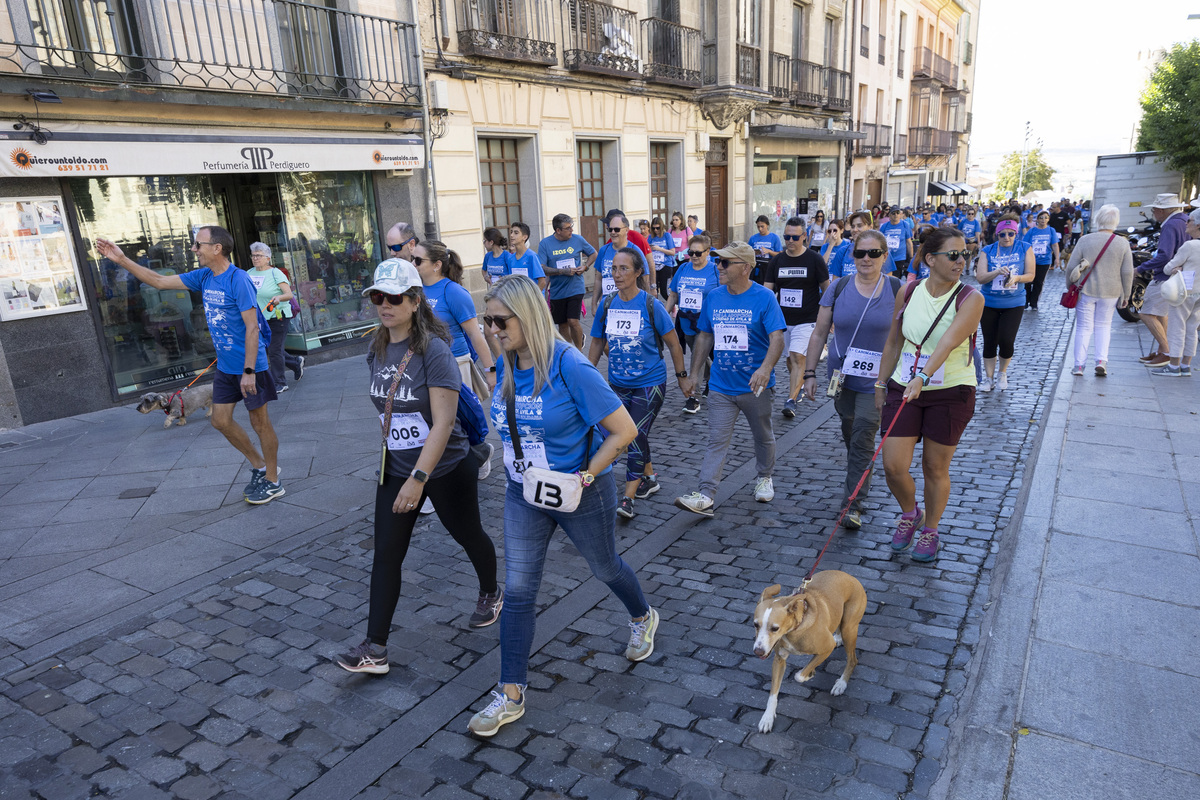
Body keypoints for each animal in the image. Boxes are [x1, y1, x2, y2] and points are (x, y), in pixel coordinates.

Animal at [744, 568, 868, 734]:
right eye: (755, 624)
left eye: (775, 628)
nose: (758, 651)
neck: (794, 630)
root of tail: (850, 576)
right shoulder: (779, 660)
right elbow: (773, 694)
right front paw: (767, 718)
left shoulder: (826, 648)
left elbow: (799, 675)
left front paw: (810, 674)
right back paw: (837, 637)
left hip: (849, 628)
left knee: (853, 660)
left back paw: (841, 683)